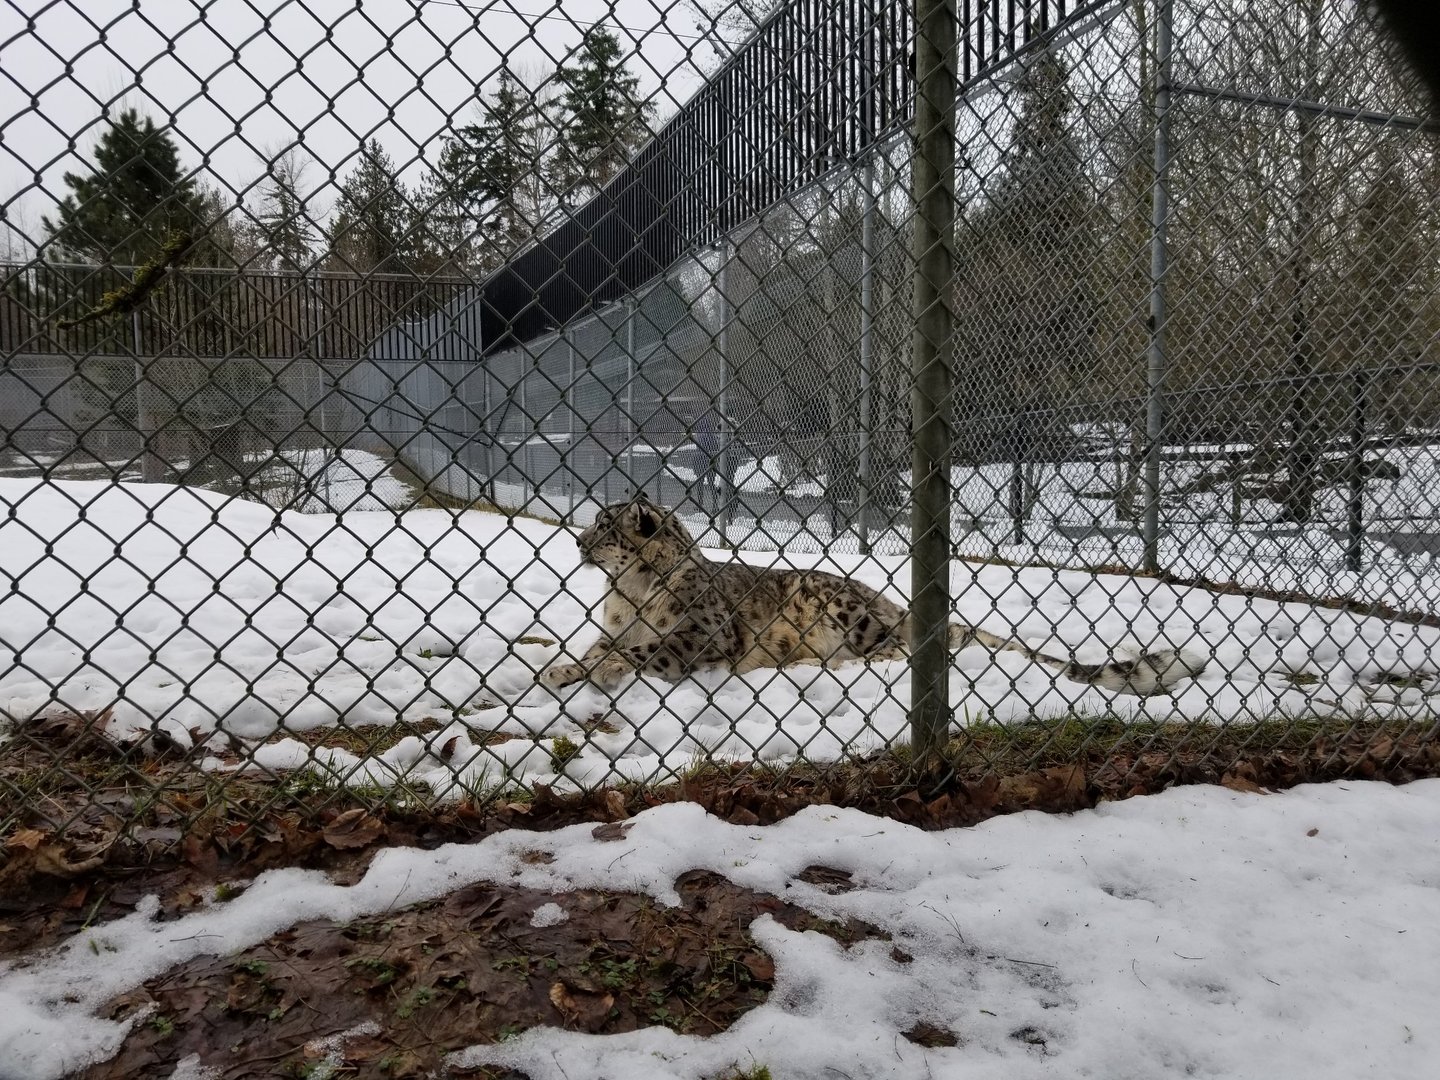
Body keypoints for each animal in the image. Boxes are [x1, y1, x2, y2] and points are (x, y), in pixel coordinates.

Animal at [540, 496, 1205, 696]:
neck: (630, 595)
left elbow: (643, 653)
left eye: (605, 526)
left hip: (841, 607)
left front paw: (578, 673)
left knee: (899, 648)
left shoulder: (701, 633)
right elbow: (601, 645)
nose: (576, 540)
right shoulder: (613, 625)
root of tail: (894, 605)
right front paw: (562, 666)